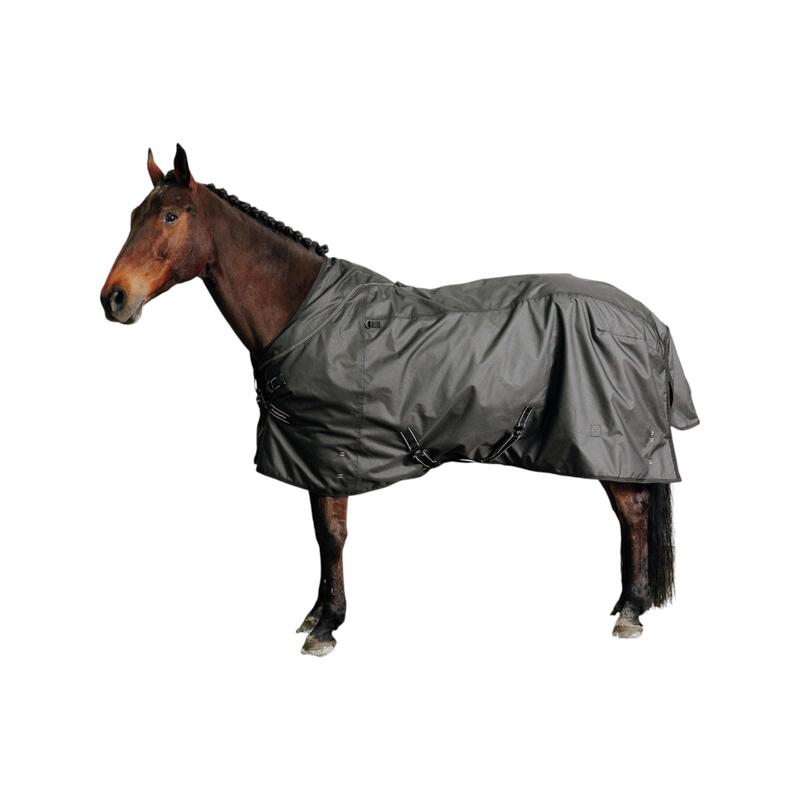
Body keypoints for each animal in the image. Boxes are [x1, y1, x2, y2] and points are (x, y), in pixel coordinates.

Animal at [101, 144, 698, 656]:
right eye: (133, 215)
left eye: (170, 217)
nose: (114, 298)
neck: (304, 310)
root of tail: (649, 320)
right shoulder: (313, 454)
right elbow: (321, 537)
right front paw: (317, 613)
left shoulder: (331, 454)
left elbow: (332, 536)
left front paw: (327, 625)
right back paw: (625, 604)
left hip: (613, 445)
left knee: (632, 513)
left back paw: (632, 613)